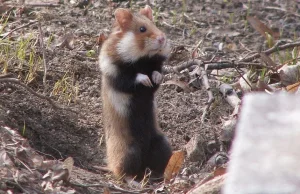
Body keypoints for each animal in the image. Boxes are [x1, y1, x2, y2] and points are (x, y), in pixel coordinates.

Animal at [99, 4, 172, 180]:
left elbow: (156, 75)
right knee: (123, 173)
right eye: (142, 29)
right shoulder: (116, 74)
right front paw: (145, 79)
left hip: (162, 144)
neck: (141, 58)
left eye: (155, 24)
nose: (162, 38)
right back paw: (135, 181)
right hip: (129, 152)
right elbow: (132, 78)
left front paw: (155, 77)